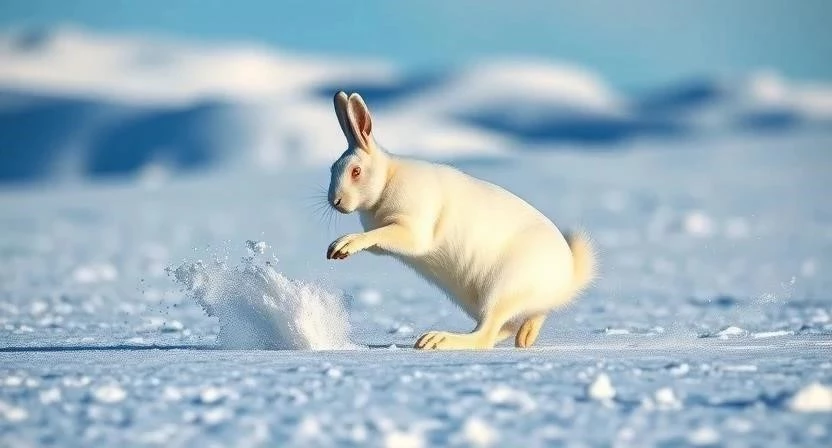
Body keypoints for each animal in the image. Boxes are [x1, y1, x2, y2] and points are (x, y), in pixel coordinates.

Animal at [325, 91, 596, 349]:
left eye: (356, 171)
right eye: (332, 168)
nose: (335, 201)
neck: (387, 180)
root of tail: (567, 279)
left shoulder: (413, 228)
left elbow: (383, 235)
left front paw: (343, 244)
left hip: (503, 287)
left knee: (485, 335)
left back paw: (437, 340)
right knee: (510, 326)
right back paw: (525, 337)